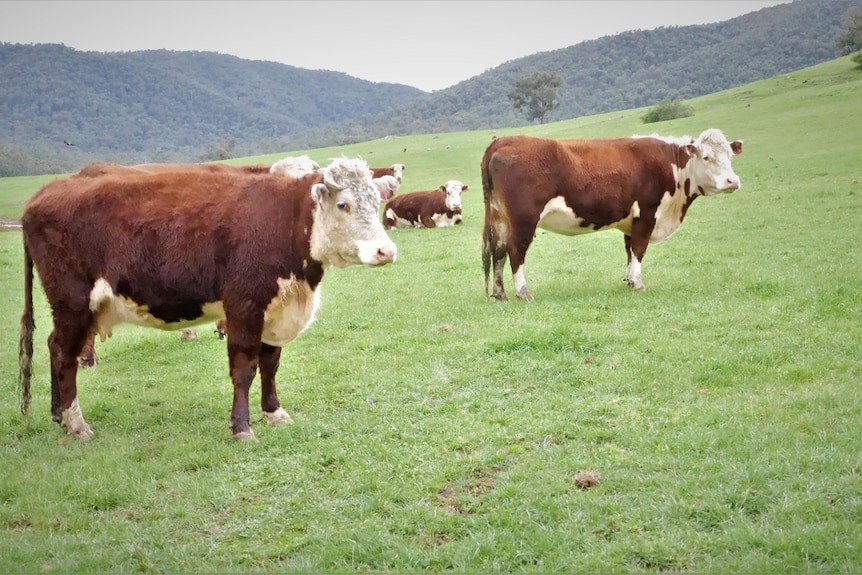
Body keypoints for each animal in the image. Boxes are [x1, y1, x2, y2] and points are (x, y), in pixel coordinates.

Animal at [19, 156, 398, 440]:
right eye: (343, 204)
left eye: (376, 201)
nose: (386, 251)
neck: (283, 220)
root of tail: (43, 194)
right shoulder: (244, 306)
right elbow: (244, 368)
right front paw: (242, 427)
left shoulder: (274, 309)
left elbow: (270, 363)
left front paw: (274, 412)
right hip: (72, 301)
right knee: (65, 354)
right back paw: (77, 423)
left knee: (55, 346)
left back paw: (59, 415)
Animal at [482, 129, 744, 302]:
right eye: (706, 157)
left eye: (730, 156)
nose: (732, 181)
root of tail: (504, 140)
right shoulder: (647, 214)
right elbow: (639, 249)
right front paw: (638, 283)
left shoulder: (631, 221)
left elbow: (629, 250)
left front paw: (628, 280)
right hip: (524, 219)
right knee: (516, 251)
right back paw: (523, 292)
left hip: (500, 217)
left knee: (498, 251)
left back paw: (499, 293)